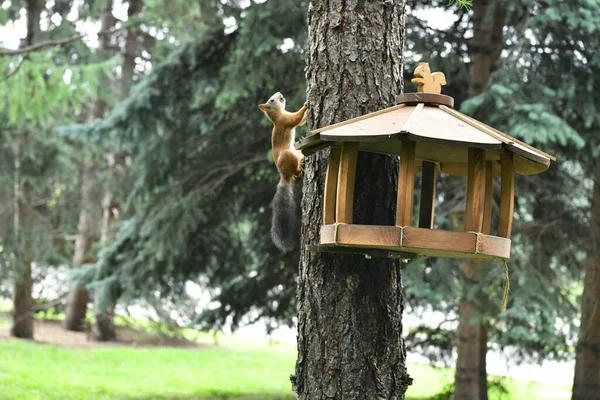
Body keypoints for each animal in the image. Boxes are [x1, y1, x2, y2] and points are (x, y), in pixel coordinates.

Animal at [258, 92, 308, 252]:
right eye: (272, 100)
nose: (280, 94)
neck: (278, 114)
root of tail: (284, 175)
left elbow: (301, 121)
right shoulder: (285, 120)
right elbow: (296, 118)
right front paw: (306, 104)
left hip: (296, 153)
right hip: (287, 156)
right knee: (296, 173)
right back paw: (300, 167)